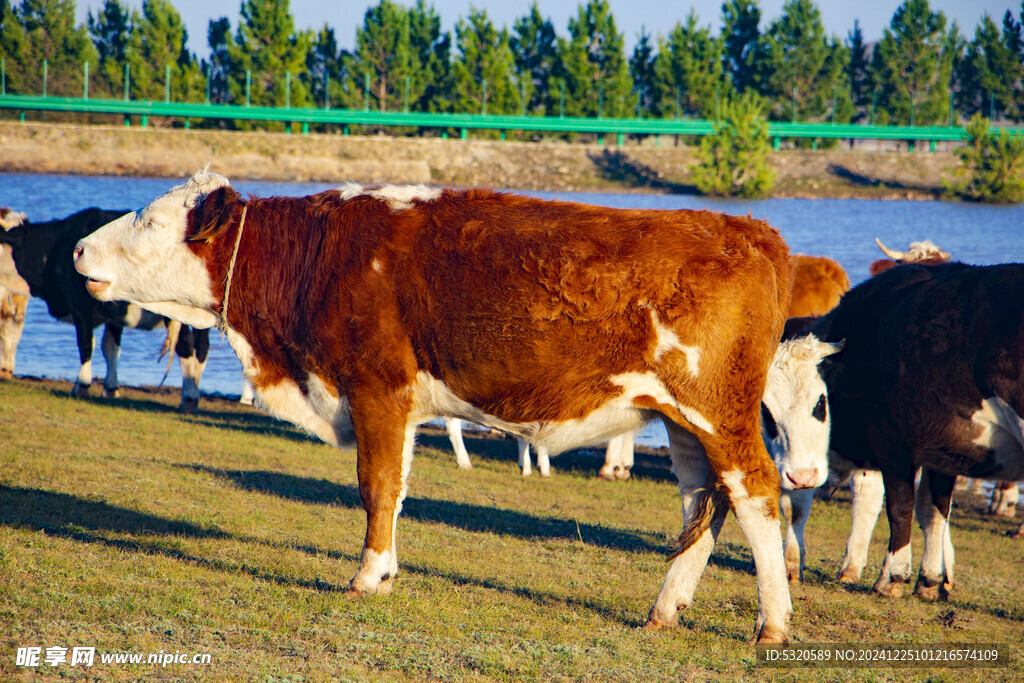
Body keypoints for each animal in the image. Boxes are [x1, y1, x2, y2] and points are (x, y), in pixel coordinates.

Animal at [0, 208, 210, 411]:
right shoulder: (114, 315)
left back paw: (189, 397)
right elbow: (110, 347)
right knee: (201, 350)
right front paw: (111, 388)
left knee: (185, 347)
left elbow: (86, 343)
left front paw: (82, 384)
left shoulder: (79, 305)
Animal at [75, 169, 798, 643]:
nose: (80, 248)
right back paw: (665, 609)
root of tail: (748, 228)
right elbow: (397, 488)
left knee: (758, 493)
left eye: (150, 220)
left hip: (720, 412)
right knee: (704, 501)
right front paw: (387, 570)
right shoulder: (399, 402)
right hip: (684, 421)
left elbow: (376, 484)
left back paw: (773, 622)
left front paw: (368, 576)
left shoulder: (376, 387)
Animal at [786, 264, 1019, 602]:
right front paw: (930, 579)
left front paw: (891, 576)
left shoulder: (894, 443)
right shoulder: (947, 448)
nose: (801, 474)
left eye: (819, 403)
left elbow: (900, 505)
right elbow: (935, 511)